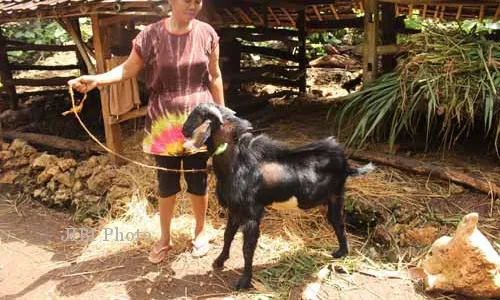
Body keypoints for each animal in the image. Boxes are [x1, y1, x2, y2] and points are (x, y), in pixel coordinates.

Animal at [182, 103, 374, 290]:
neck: (237, 161)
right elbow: (227, 235)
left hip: (335, 194)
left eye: (199, 116)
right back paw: (341, 253)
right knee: (337, 222)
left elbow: (247, 248)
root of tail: (346, 165)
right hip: (334, 197)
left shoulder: (251, 214)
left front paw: (244, 282)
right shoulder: (234, 209)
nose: (183, 131)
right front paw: (219, 261)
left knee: (337, 222)